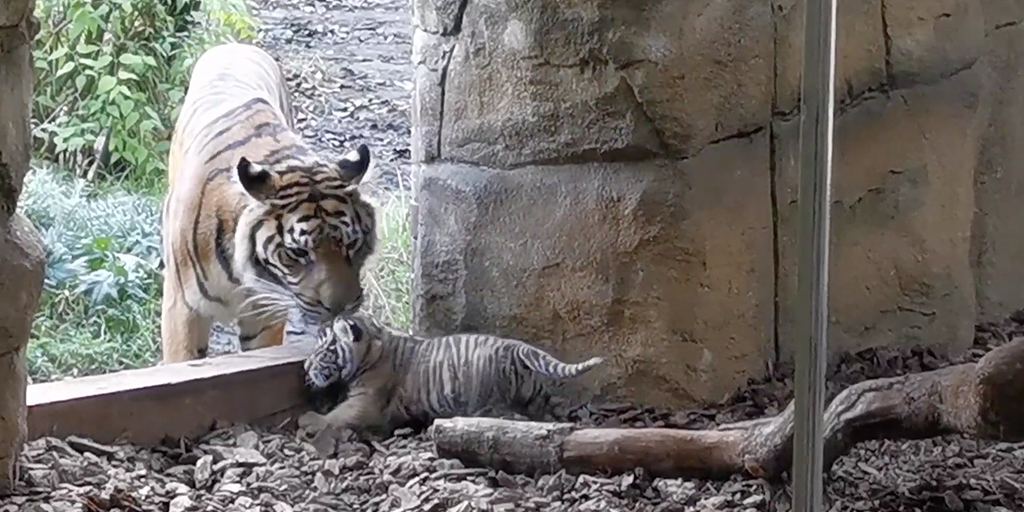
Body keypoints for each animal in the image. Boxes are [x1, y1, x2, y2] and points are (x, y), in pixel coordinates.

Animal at [161, 43, 378, 364]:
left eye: (352, 244)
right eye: (298, 252)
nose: (339, 309)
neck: (239, 276)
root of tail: (233, 43)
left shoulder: (264, 314)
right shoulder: (183, 308)